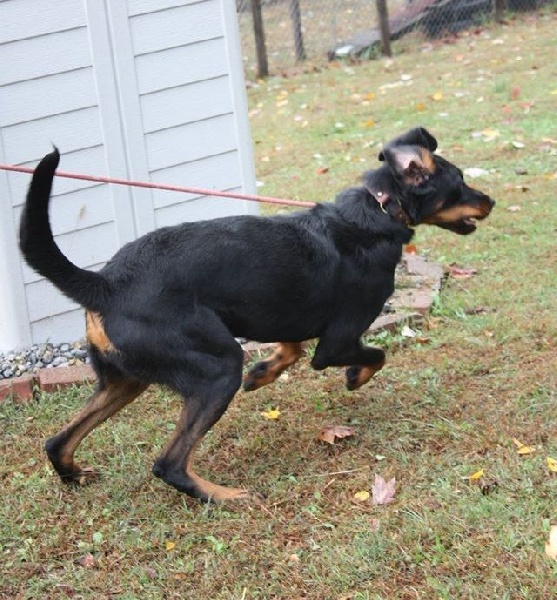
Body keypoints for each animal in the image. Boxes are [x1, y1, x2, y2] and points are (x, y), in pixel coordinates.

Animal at [19, 126, 494, 502]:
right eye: (460, 182)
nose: (490, 200)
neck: (376, 211)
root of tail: (105, 283)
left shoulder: (281, 313)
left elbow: (291, 349)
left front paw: (264, 372)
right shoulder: (338, 341)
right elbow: (373, 355)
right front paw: (354, 377)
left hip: (125, 380)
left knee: (57, 442)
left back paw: (75, 474)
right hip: (215, 369)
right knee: (168, 463)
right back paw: (226, 496)